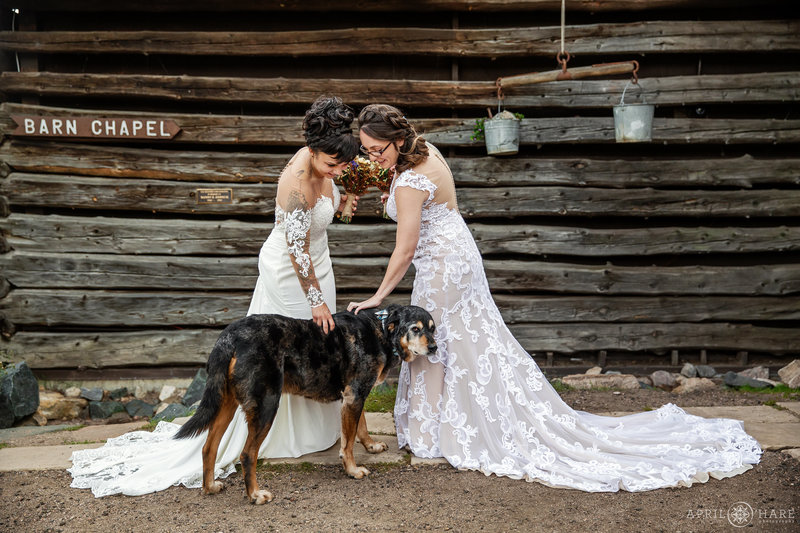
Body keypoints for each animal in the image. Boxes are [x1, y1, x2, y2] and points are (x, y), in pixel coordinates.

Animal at [176, 304, 438, 502]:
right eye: (415, 329)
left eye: (433, 328)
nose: (435, 347)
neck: (380, 331)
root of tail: (230, 335)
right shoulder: (354, 395)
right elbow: (348, 443)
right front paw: (353, 470)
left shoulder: (355, 394)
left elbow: (360, 427)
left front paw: (371, 446)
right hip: (266, 405)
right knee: (247, 454)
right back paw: (255, 495)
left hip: (226, 404)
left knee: (208, 447)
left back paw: (210, 487)